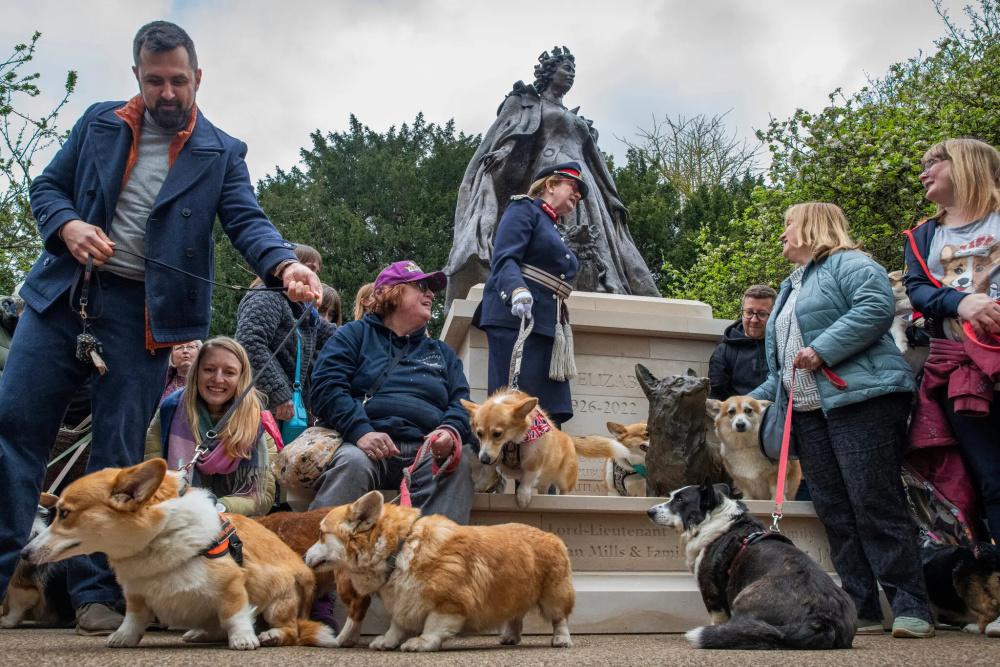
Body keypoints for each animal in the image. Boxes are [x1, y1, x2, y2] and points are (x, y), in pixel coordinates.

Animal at [20, 462, 336, 648]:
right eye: (56, 512)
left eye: (64, 513)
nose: (24, 552)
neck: (156, 538)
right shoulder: (135, 592)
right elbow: (133, 619)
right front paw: (123, 637)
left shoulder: (232, 584)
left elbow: (235, 615)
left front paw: (243, 639)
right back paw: (200, 633)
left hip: (277, 604)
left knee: (292, 630)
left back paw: (270, 635)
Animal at [304, 490, 576, 652]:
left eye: (320, 533)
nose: (303, 556)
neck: (400, 548)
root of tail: (552, 536)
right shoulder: (404, 602)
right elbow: (397, 625)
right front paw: (387, 641)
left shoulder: (449, 604)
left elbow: (433, 625)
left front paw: (420, 642)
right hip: (513, 591)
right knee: (514, 616)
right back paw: (510, 637)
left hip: (553, 596)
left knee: (559, 619)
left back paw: (561, 639)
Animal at [462, 388, 624, 508]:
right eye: (479, 433)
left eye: (497, 434)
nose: (483, 459)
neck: (512, 443)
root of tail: (569, 438)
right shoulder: (492, 459)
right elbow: (485, 475)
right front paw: (477, 488)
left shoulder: (534, 460)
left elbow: (526, 479)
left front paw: (523, 497)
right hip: (545, 482)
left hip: (565, 479)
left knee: (564, 491)